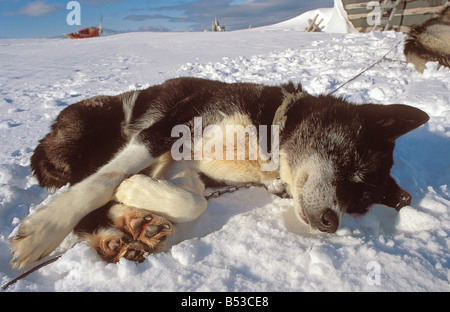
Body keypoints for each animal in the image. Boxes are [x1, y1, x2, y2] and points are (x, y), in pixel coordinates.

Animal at [8, 77, 428, 268]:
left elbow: (194, 202)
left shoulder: (185, 167)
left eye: (358, 202)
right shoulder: (173, 125)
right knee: (87, 186)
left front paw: (137, 192)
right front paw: (45, 228)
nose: (331, 221)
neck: (266, 136)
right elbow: (105, 181)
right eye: (351, 164)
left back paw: (132, 225)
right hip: (91, 135)